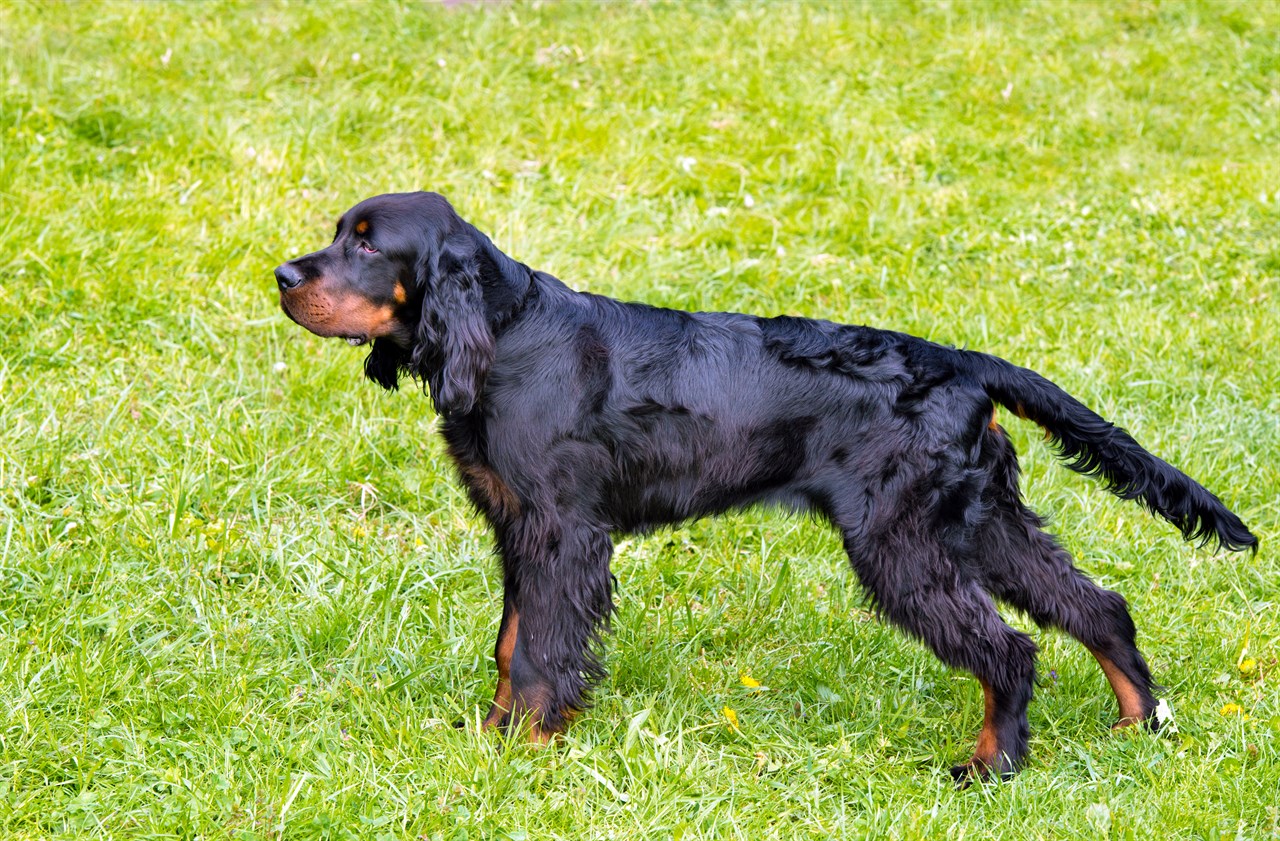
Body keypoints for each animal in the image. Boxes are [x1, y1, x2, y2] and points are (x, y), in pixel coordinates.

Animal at [275, 190, 1254, 778]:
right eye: (337, 232)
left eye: (368, 245)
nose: (283, 274)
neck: (508, 333)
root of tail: (964, 363)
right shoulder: (518, 527)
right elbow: (513, 640)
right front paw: (493, 734)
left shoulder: (562, 530)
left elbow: (543, 647)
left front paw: (529, 743)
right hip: (977, 519)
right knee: (1098, 606)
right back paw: (1137, 723)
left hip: (900, 540)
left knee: (1010, 648)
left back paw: (989, 766)